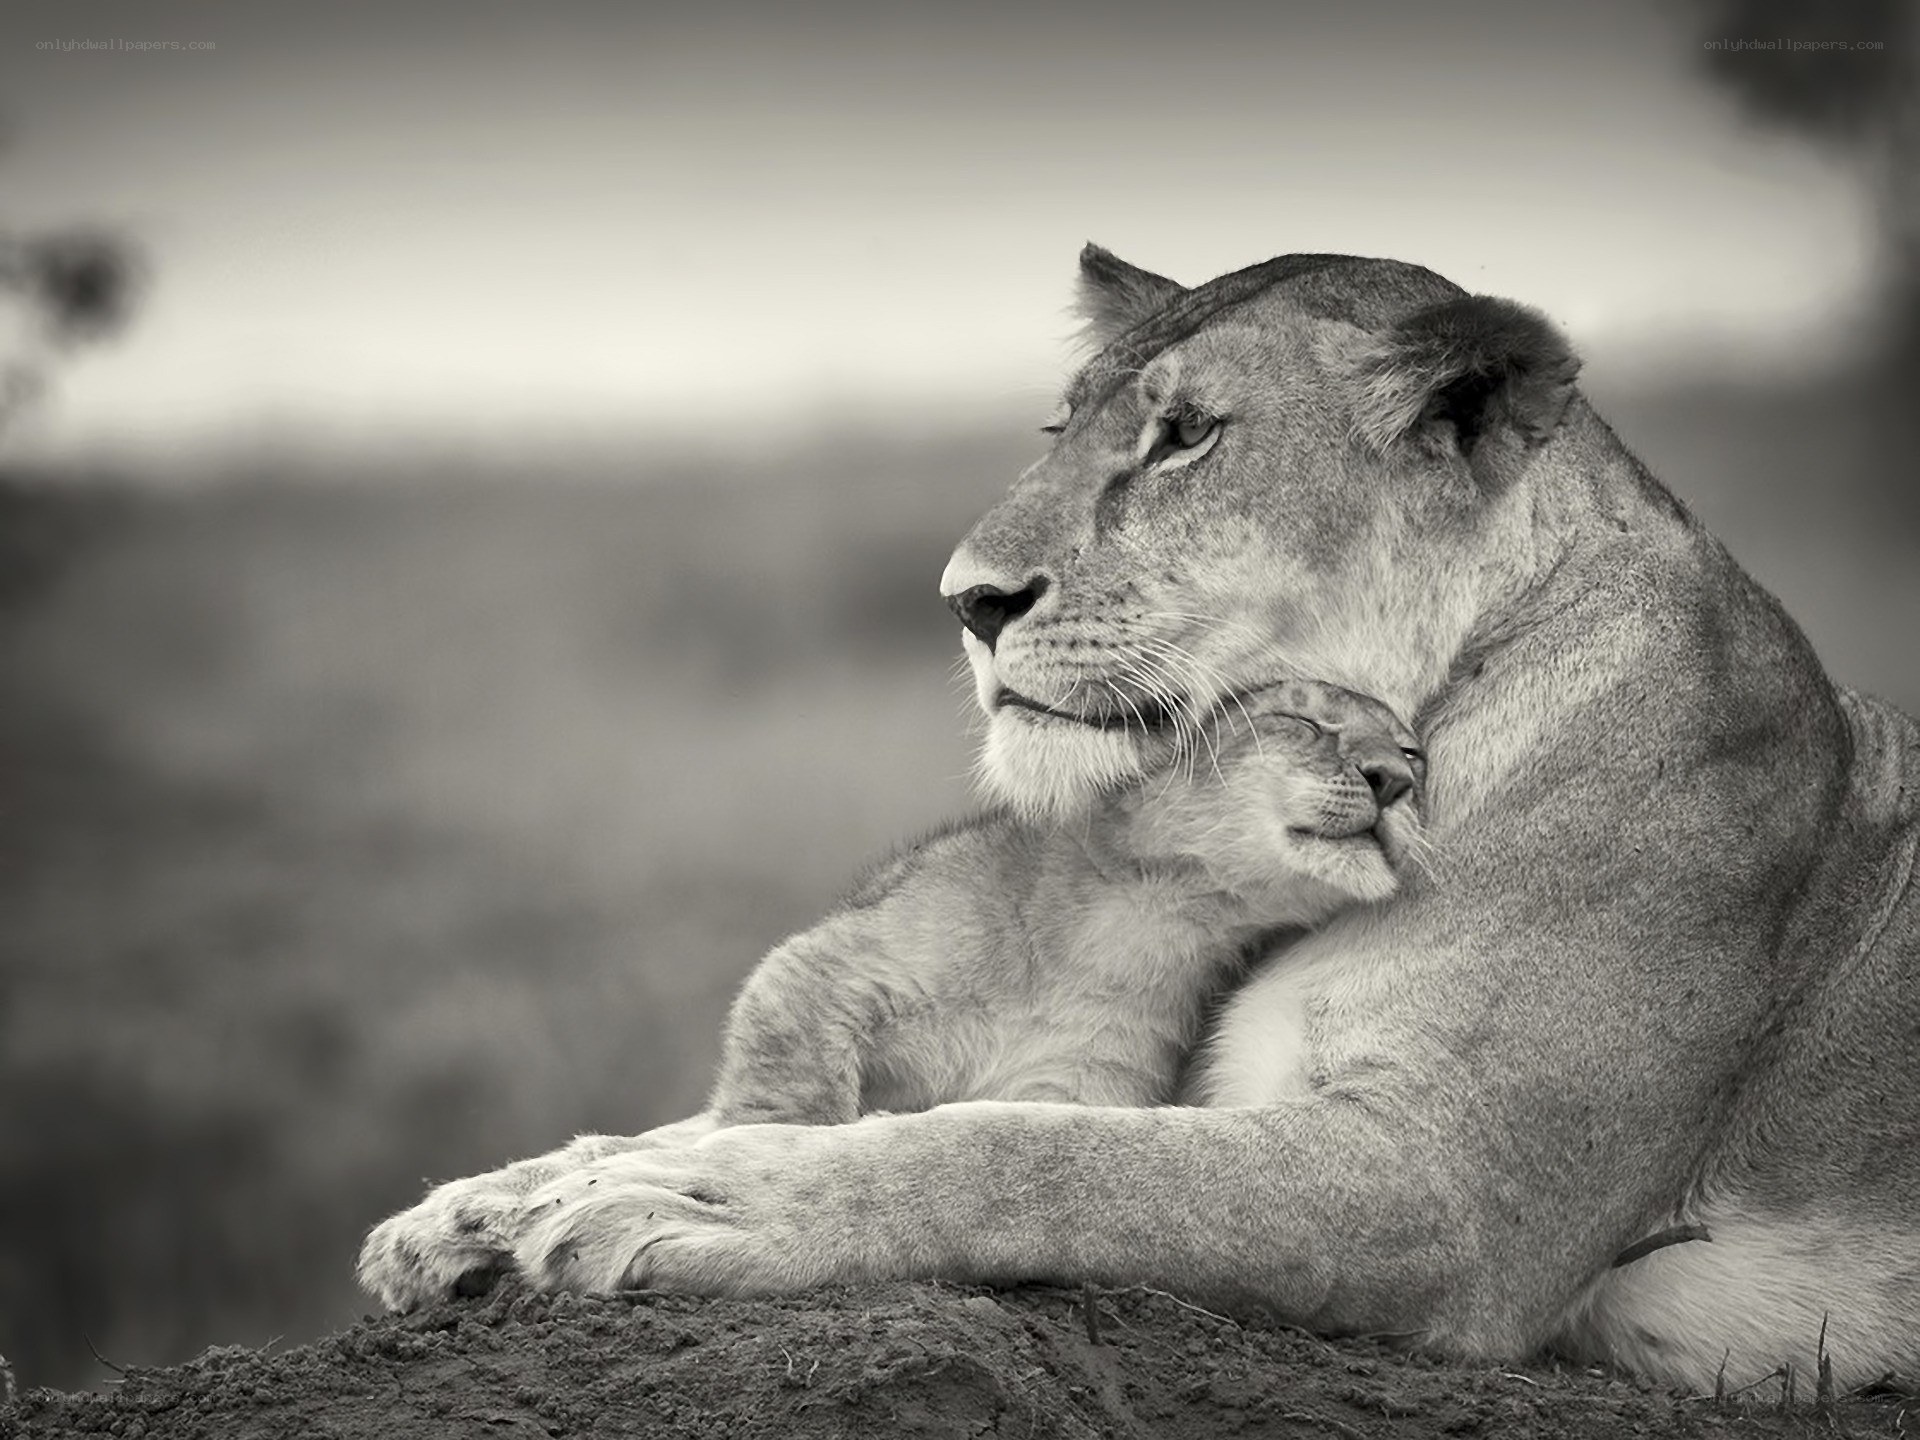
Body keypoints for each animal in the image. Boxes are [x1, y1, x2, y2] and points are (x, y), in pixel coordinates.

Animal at [358, 245, 1920, 1393]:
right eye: (1064, 431)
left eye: (1185, 439)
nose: (967, 601)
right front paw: (486, 1211)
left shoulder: (1457, 1192)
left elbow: (1032, 1156)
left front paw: (697, 1204)